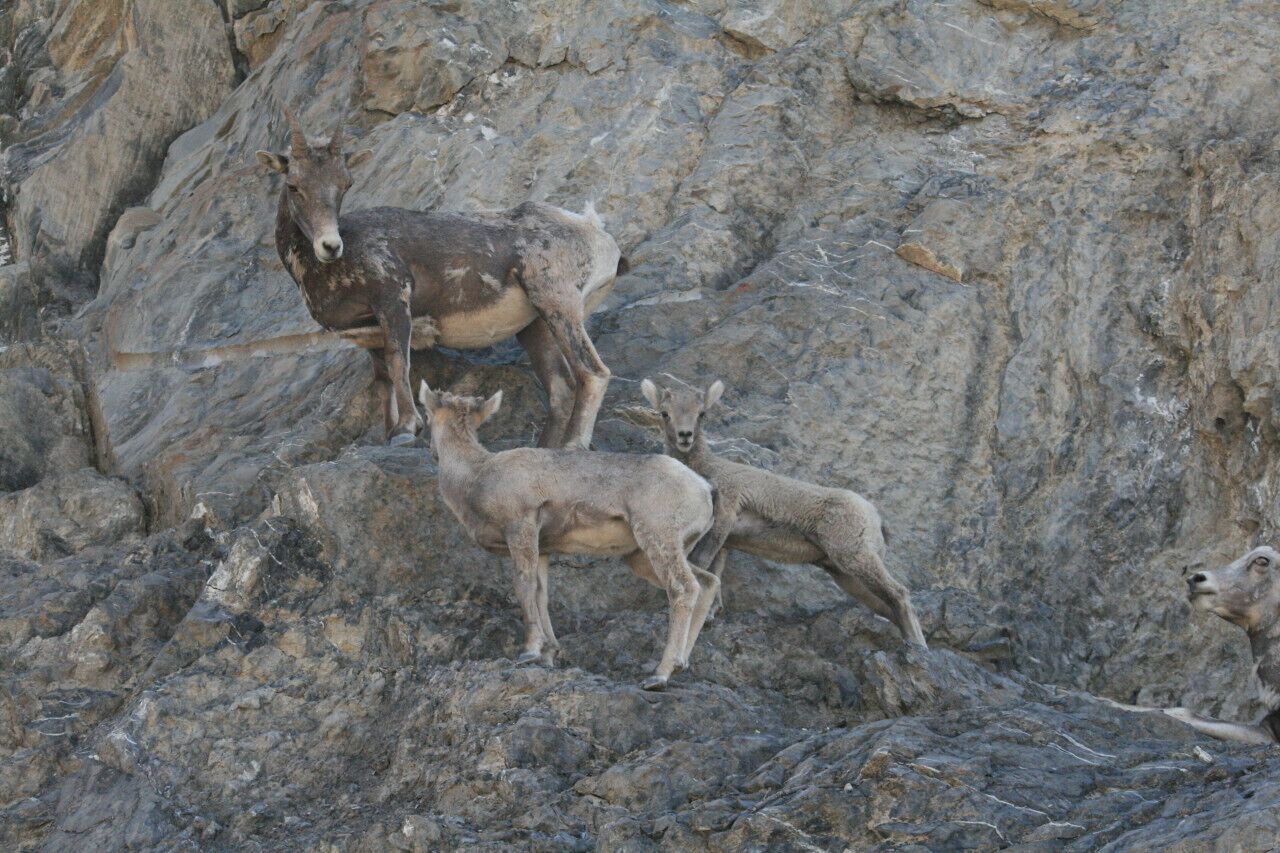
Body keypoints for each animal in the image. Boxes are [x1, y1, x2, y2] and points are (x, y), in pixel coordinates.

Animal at [256, 109, 620, 447]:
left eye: (345, 185)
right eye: (294, 185)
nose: (330, 246)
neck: (327, 270)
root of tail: (598, 234)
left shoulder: (393, 301)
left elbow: (399, 363)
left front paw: (406, 430)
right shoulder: (368, 331)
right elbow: (382, 380)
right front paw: (388, 434)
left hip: (557, 303)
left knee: (592, 373)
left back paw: (573, 445)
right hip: (536, 327)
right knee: (560, 390)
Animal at [419, 381, 719, 690]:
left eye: (426, 416)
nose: (430, 449)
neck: (476, 476)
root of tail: (705, 489)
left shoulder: (520, 528)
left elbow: (524, 586)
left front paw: (529, 651)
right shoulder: (543, 549)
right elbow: (541, 594)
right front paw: (547, 654)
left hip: (659, 540)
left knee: (684, 588)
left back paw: (659, 675)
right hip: (644, 556)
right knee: (707, 582)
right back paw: (681, 665)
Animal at [640, 377, 927, 648]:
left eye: (702, 413)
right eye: (664, 413)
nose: (685, 436)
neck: (705, 471)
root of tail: (874, 516)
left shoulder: (724, 518)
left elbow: (701, 564)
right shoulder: (725, 541)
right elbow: (715, 572)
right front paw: (711, 613)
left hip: (856, 557)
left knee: (900, 594)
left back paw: (918, 646)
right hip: (844, 574)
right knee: (887, 606)